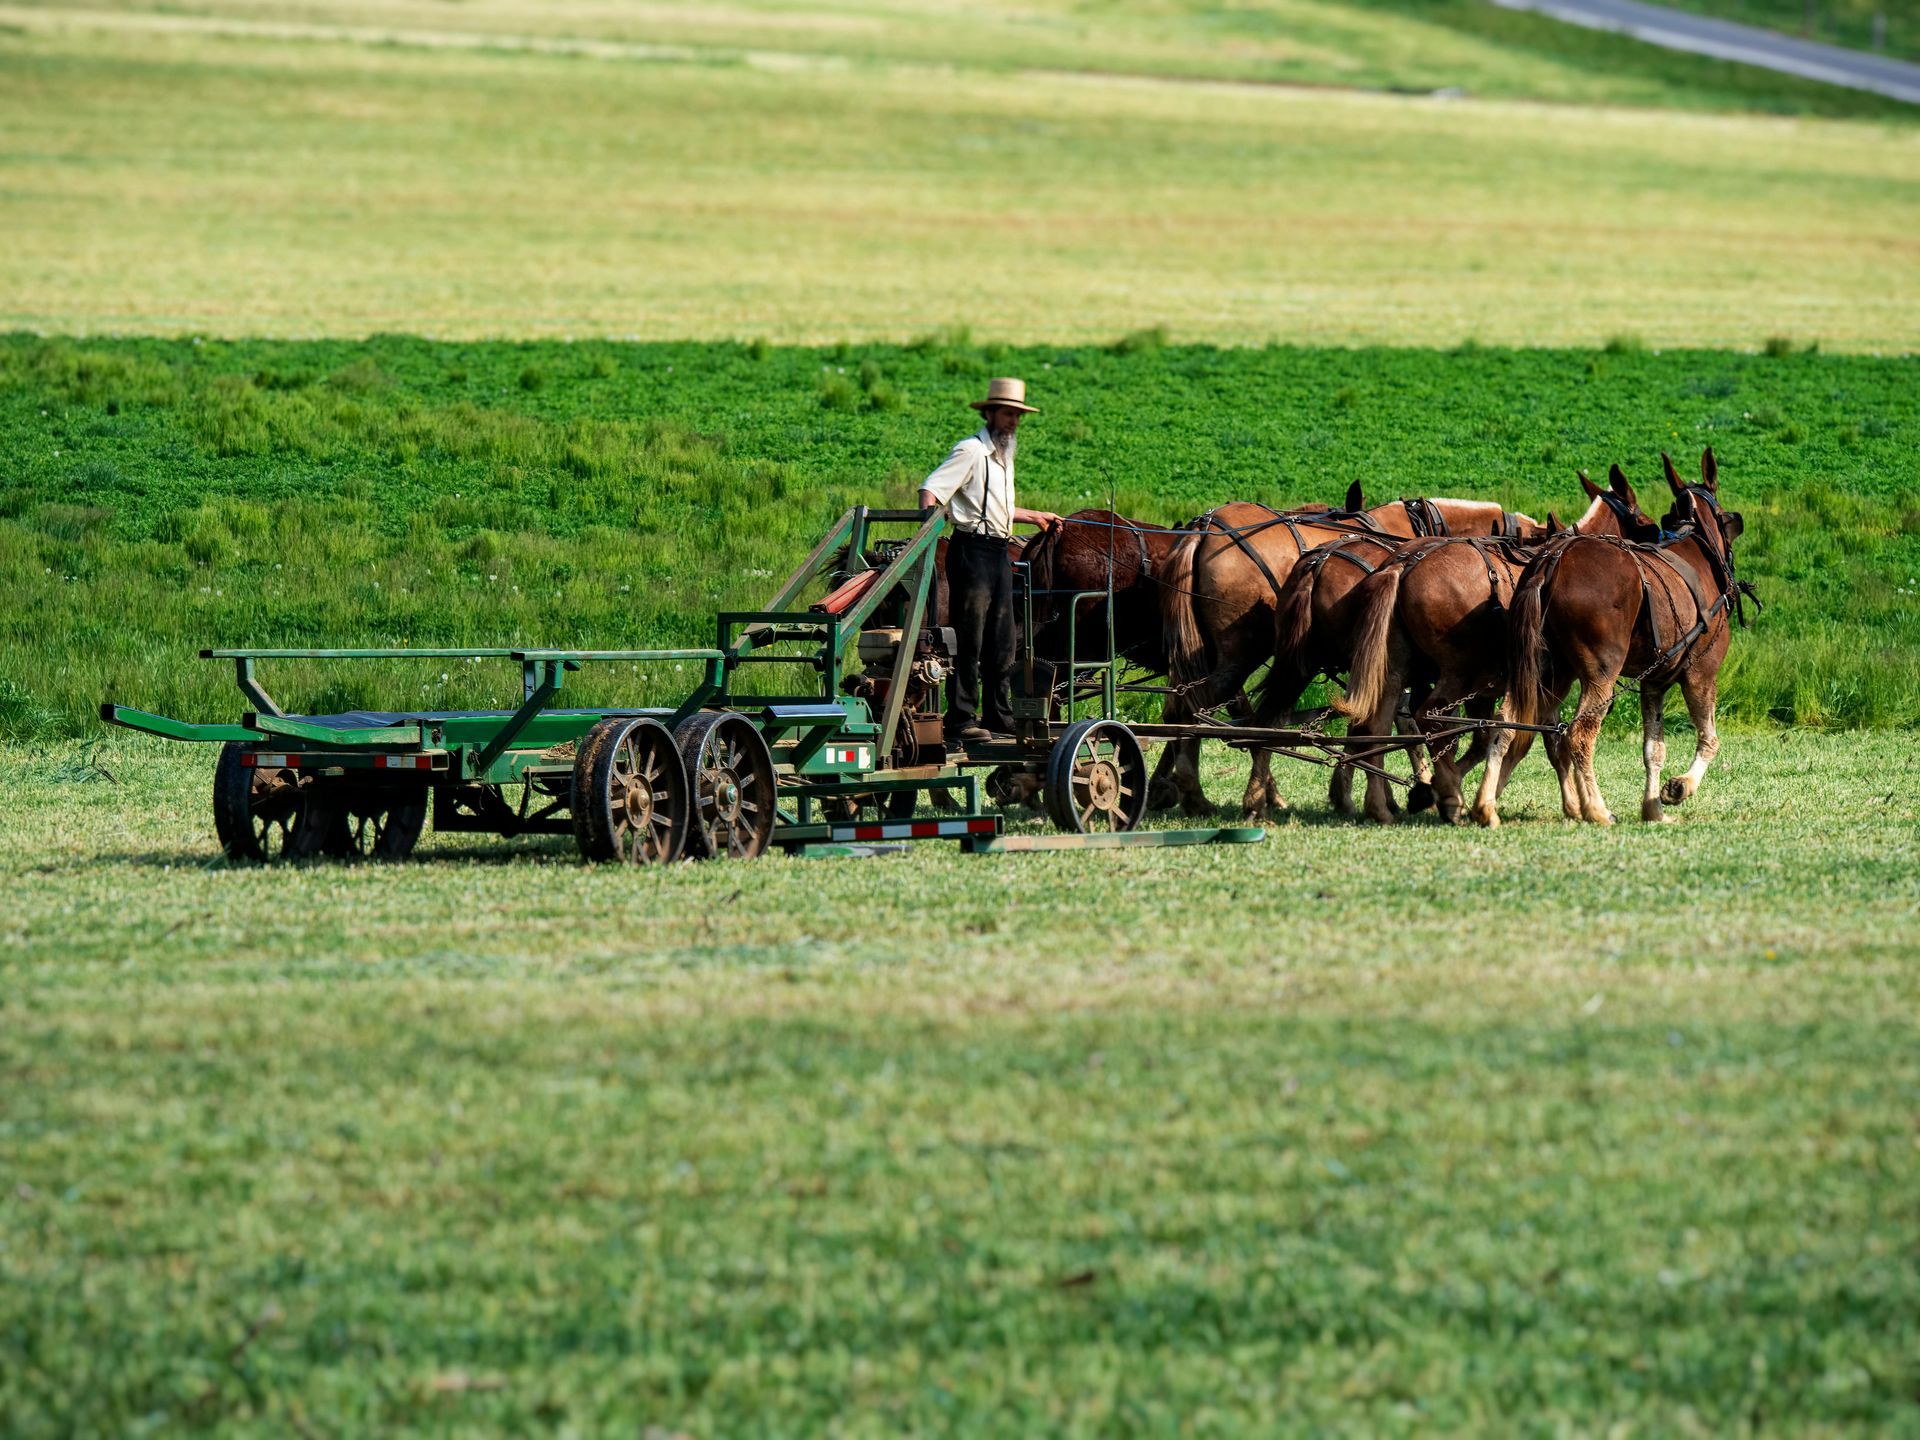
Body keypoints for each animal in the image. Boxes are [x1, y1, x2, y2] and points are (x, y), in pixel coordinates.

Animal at [1154, 491, 1538, 816]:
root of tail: (1205, 526)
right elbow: (1406, 726)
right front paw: (1416, 789)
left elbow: (1378, 725)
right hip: (1243, 653)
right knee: (1201, 709)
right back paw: (1196, 793)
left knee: (1200, 710)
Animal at [1330, 467, 1662, 824]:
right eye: (1647, 523)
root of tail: (1402, 564)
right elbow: (1531, 739)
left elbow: (1521, 739)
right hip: (1459, 672)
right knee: (1429, 719)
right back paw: (1449, 796)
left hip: (1395, 668)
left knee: (1375, 723)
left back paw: (1380, 802)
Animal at [1476, 448, 1754, 828]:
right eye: (1731, 522)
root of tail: (1550, 563)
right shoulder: (1701, 673)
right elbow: (1709, 739)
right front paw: (1680, 787)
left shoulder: (1653, 683)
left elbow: (1653, 749)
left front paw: (1653, 808)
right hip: (1599, 675)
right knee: (1578, 734)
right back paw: (1595, 808)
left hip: (1543, 672)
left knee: (1506, 725)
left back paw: (1485, 805)